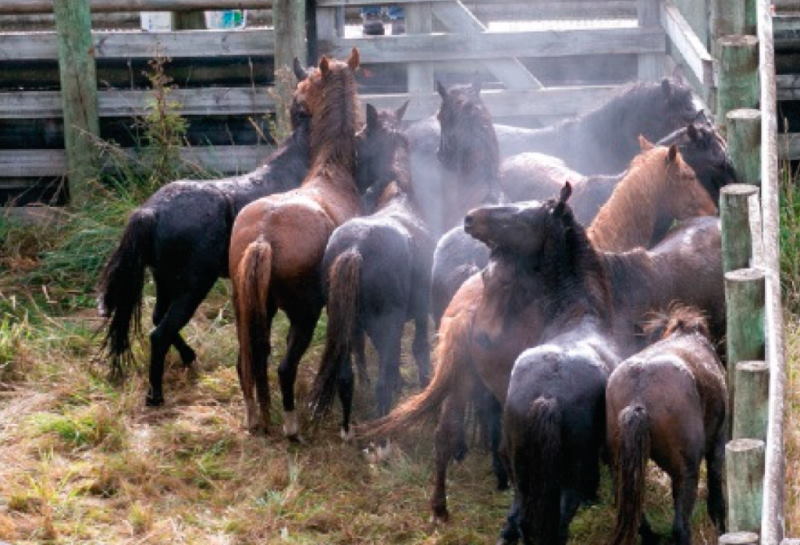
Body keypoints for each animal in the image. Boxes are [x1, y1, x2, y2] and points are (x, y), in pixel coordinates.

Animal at [97, 59, 311, 405]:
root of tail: (151, 211)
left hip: (166, 280)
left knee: (158, 320)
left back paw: (188, 357)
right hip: (192, 285)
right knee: (160, 332)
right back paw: (155, 394)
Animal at [228, 49, 362, 438]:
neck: (331, 173)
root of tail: (264, 236)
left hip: (246, 307)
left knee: (247, 363)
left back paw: (255, 417)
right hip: (305, 313)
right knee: (284, 368)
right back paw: (291, 427)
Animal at [309, 103, 434, 441]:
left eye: (359, 138)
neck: (399, 196)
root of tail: (356, 247)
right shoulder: (418, 313)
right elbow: (419, 349)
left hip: (347, 322)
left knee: (346, 375)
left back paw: (348, 429)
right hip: (386, 322)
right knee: (381, 380)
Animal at [606, 305, 727, 545]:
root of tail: (638, 399)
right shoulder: (717, 444)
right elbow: (716, 493)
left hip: (624, 468)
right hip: (686, 471)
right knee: (680, 526)